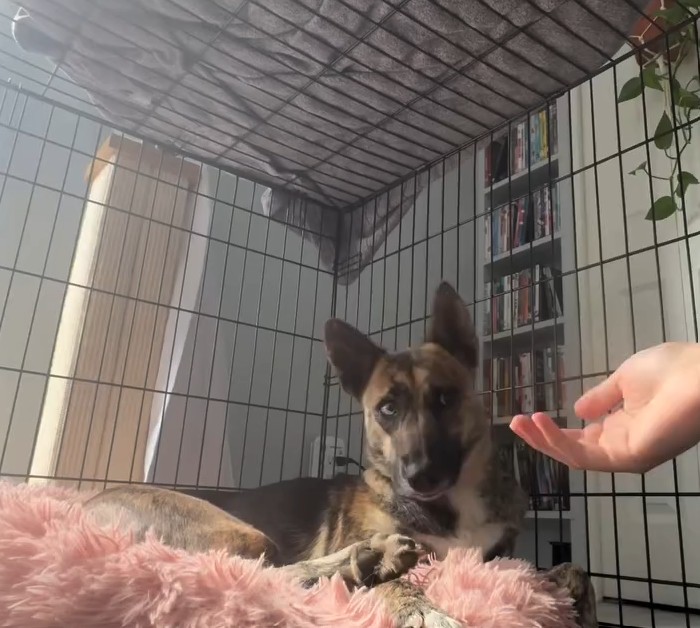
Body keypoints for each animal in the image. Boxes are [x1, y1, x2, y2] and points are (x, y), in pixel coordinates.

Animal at [82, 282, 596, 624]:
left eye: (446, 398)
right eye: (387, 409)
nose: (421, 476)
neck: (453, 508)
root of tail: (84, 504)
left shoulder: (495, 557)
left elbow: (555, 569)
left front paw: (574, 591)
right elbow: (401, 590)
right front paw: (421, 607)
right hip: (238, 533)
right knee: (264, 574)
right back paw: (367, 560)